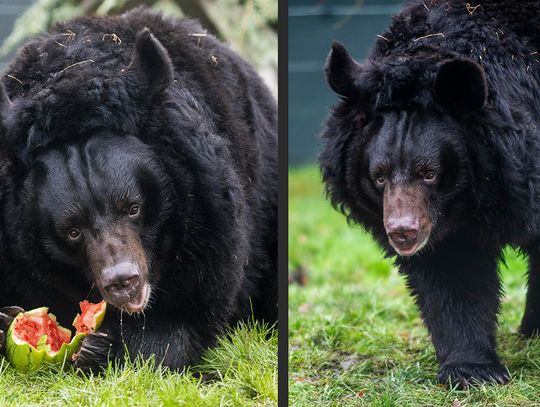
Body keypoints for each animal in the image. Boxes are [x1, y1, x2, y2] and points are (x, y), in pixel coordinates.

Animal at [0, 7, 276, 374]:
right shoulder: (12, 249)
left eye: (133, 208)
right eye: (72, 232)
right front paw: (8, 320)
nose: (123, 283)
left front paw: (101, 348)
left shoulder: (209, 218)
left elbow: (183, 322)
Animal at [320, 0, 540, 388]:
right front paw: (473, 370)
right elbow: (453, 271)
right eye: (379, 177)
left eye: (430, 173)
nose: (402, 233)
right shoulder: (449, 224)